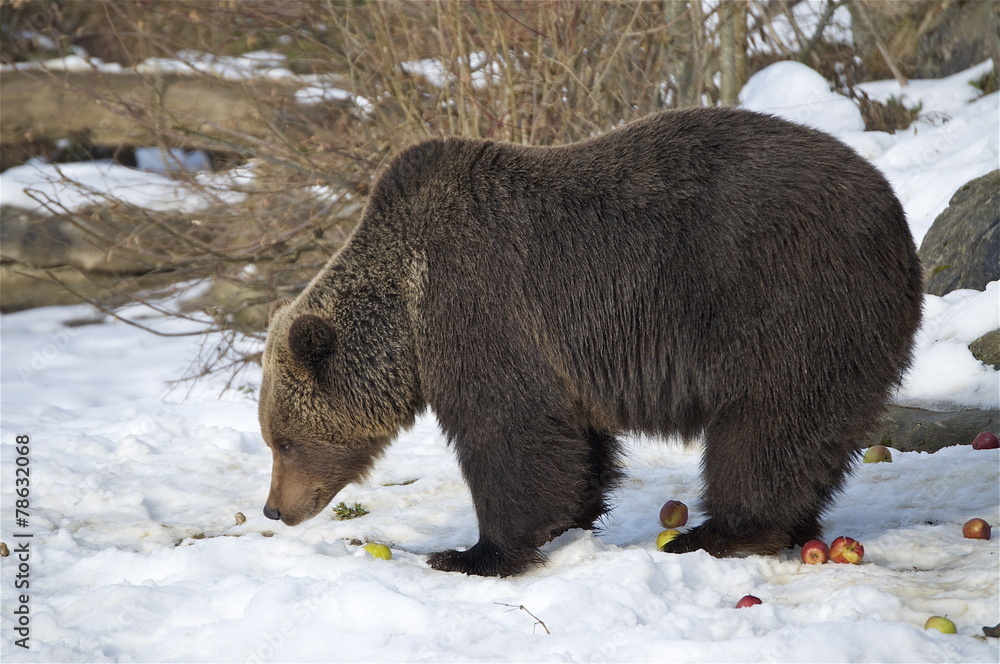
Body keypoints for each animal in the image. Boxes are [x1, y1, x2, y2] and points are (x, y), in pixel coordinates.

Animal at [258, 107, 923, 577]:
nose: (275, 508)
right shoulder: (558, 355)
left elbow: (506, 432)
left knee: (766, 428)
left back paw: (716, 533)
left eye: (284, 441)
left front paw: (472, 554)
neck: (407, 302)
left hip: (789, 306)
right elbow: (572, 443)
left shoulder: (478, 307)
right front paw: (570, 518)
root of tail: (893, 211)